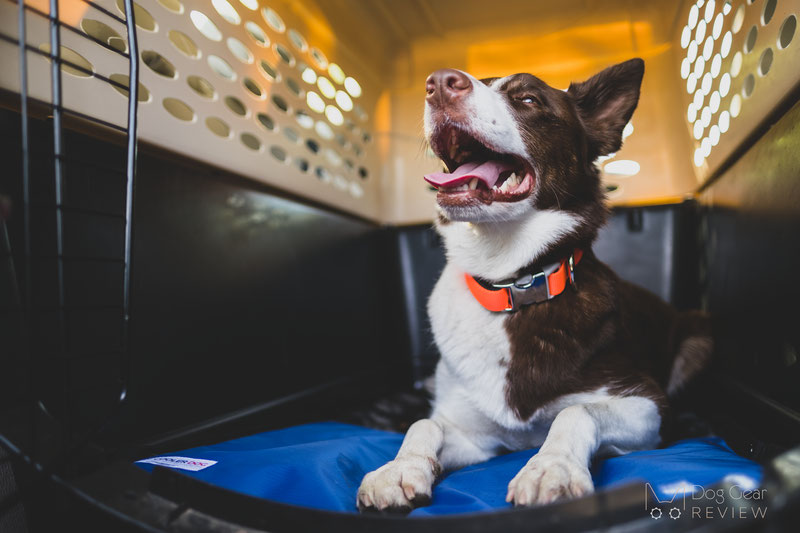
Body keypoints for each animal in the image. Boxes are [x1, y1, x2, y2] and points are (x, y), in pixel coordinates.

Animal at [356, 58, 712, 512]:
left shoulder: (648, 405)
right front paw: (400, 468)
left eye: (527, 99)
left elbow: (576, 412)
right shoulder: (474, 437)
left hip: (700, 337)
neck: (511, 283)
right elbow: (425, 424)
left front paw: (551, 468)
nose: (438, 83)